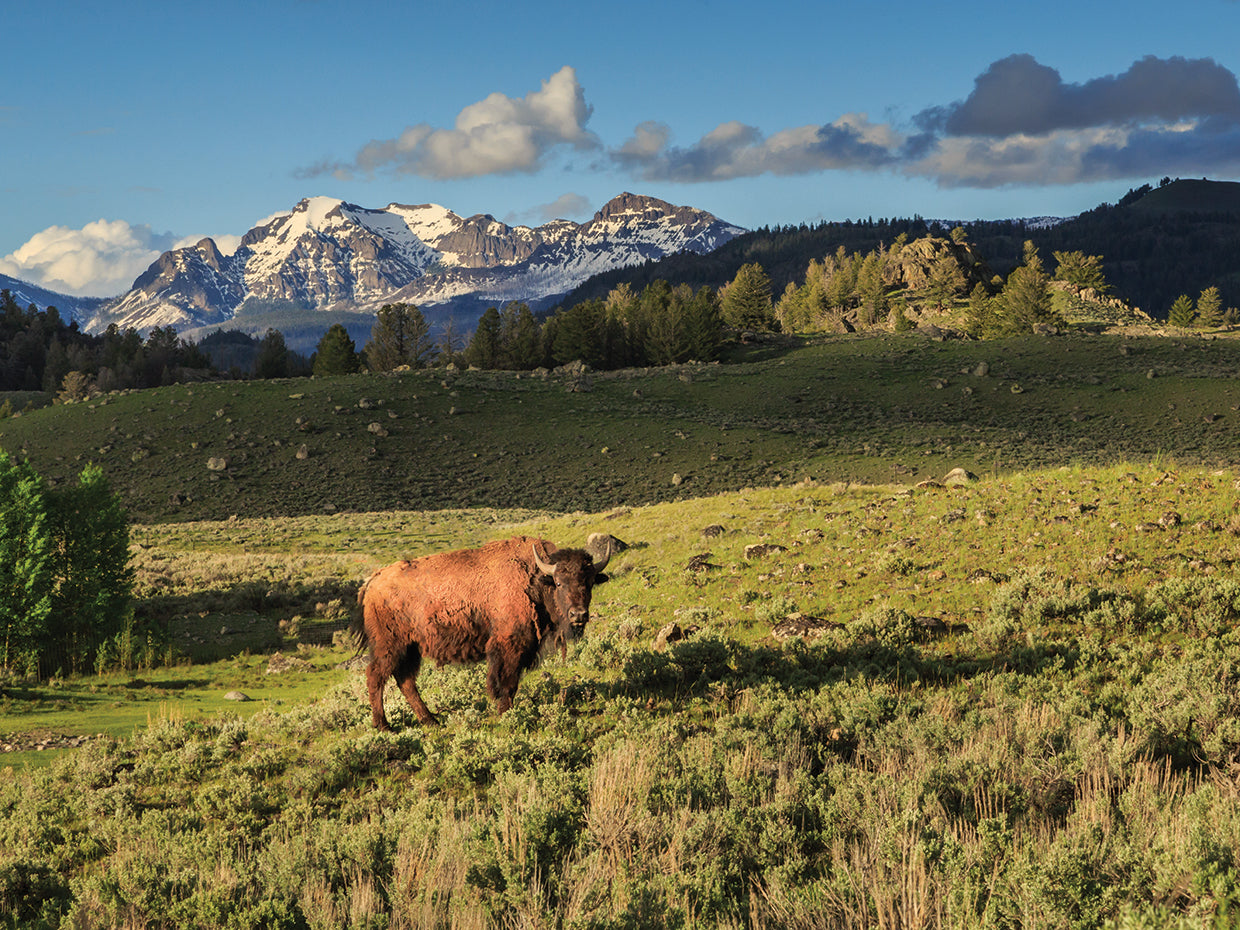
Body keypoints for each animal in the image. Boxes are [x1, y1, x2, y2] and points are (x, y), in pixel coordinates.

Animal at [353, 535, 612, 729]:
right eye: (558, 583)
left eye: (589, 582)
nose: (578, 615)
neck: (535, 580)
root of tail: (372, 581)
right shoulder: (509, 645)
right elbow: (506, 681)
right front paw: (505, 713)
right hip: (390, 645)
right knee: (375, 675)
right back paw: (383, 726)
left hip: (410, 648)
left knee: (405, 680)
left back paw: (430, 720)